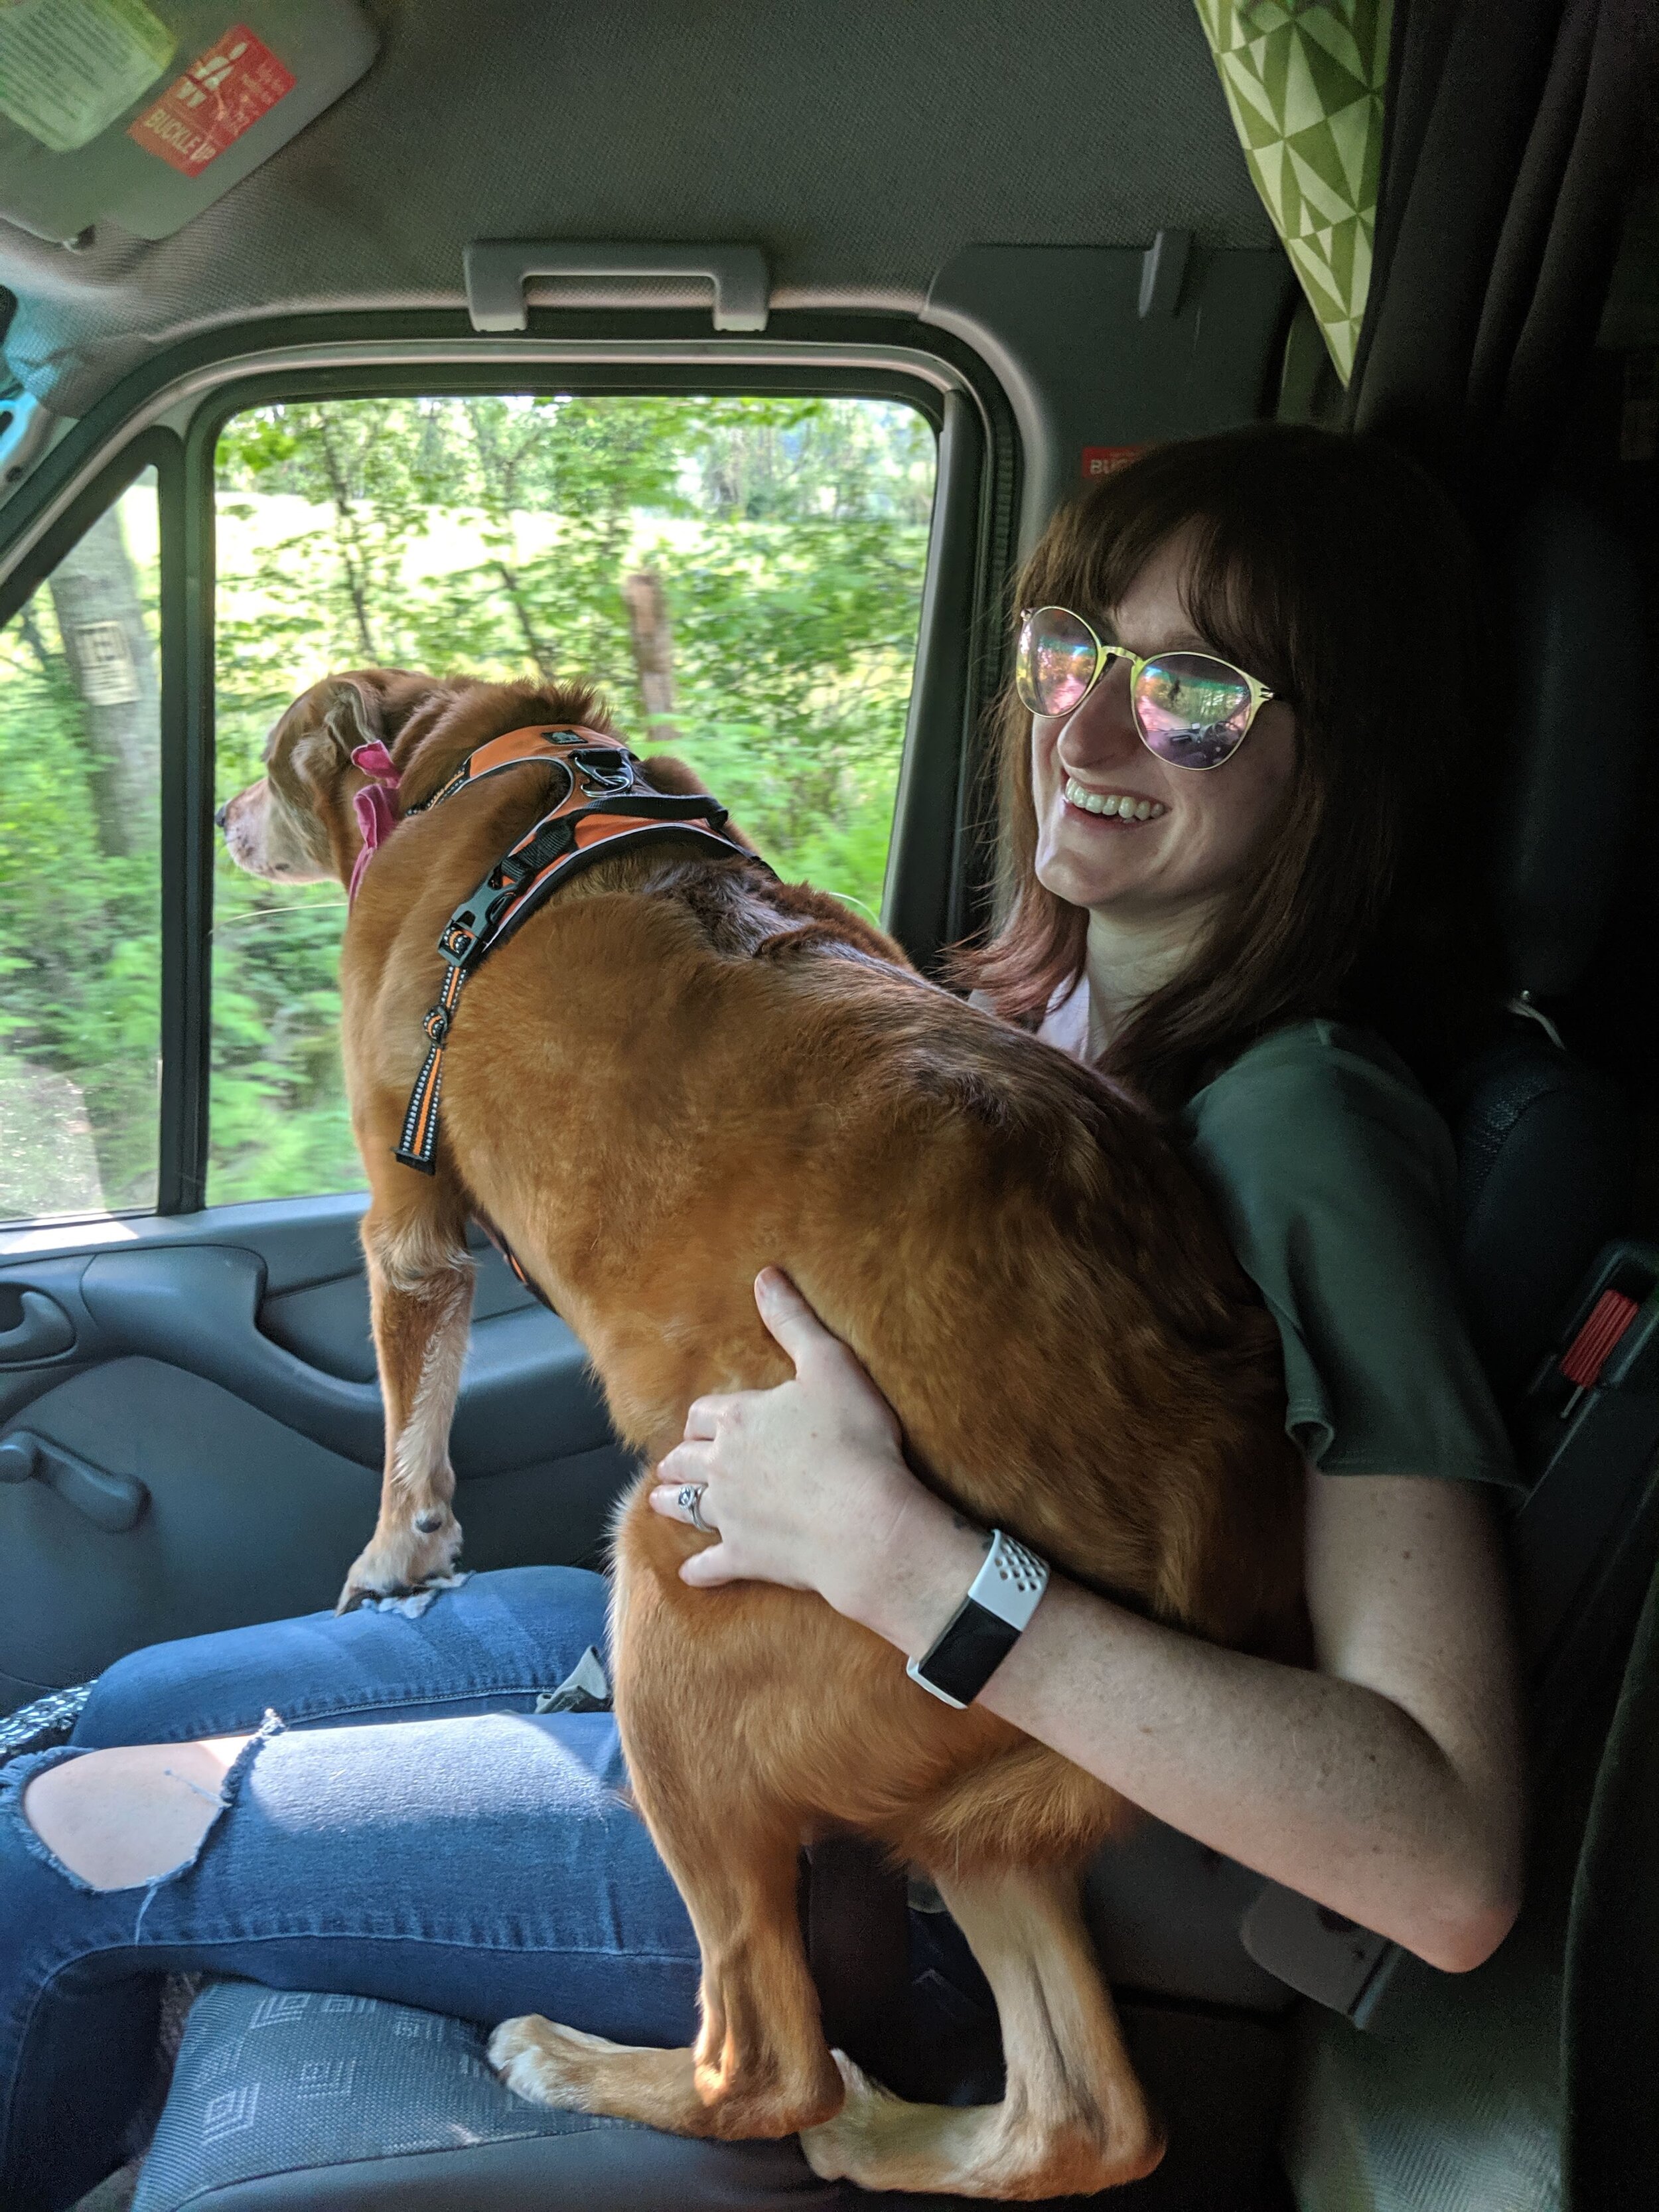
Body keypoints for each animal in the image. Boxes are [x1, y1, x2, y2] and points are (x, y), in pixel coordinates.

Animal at [224, 668, 1309, 2194]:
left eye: (266, 760)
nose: (220, 816)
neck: (474, 756)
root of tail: (1200, 1488)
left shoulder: (409, 1215)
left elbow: (409, 1418)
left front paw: (397, 1552)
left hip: (681, 1597)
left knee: (763, 2061)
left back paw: (586, 2064)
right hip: (985, 1790)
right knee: (1084, 2115)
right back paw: (895, 2128)